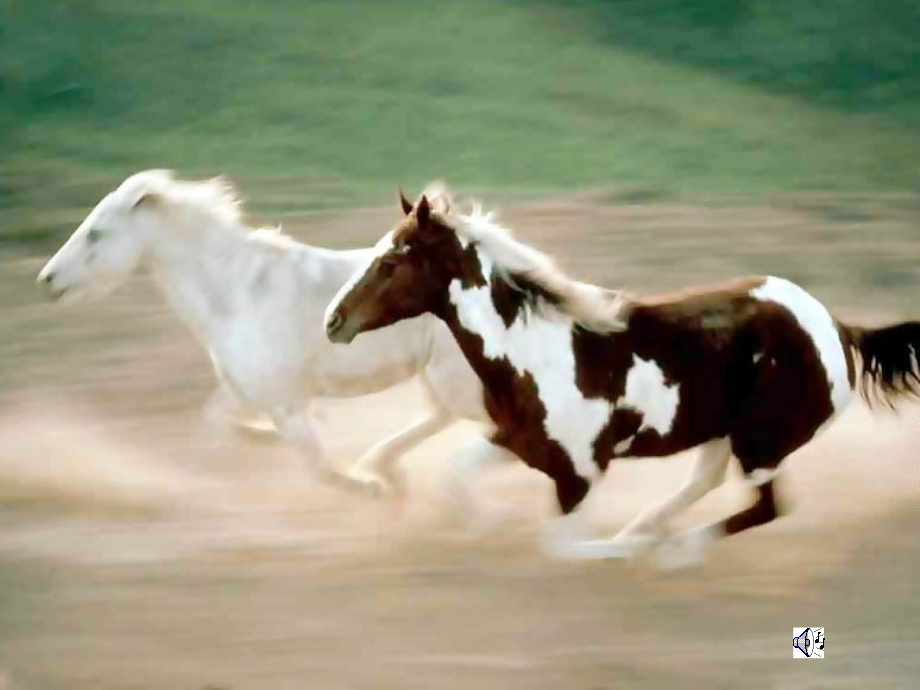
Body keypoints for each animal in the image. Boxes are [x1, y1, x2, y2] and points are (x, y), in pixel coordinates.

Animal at [35, 170, 518, 522]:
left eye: (96, 233)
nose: (48, 279)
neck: (235, 294)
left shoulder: (285, 401)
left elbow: (316, 464)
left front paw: (372, 491)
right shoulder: (245, 390)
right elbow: (219, 421)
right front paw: (272, 440)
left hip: (457, 380)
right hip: (439, 377)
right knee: (439, 418)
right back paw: (387, 468)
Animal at [323, 183, 920, 566]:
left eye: (392, 261)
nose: (333, 321)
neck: (534, 352)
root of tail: (840, 328)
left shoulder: (580, 473)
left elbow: (559, 546)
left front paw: (611, 551)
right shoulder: (517, 442)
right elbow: (455, 475)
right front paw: (485, 524)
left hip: (761, 442)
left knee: (766, 507)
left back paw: (670, 550)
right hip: (723, 433)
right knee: (704, 484)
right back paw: (649, 533)